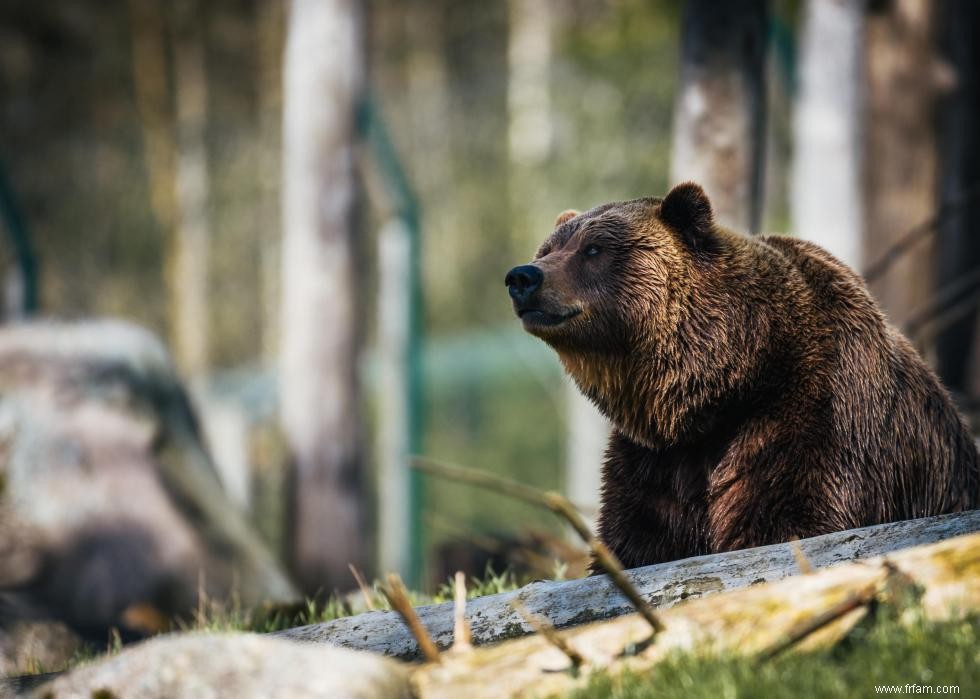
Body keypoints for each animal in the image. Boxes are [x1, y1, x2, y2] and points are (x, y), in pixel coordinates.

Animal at [506, 182, 980, 568]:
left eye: (593, 249)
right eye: (547, 249)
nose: (522, 276)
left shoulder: (812, 414)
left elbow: (789, 519)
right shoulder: (656, 462)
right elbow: (638, 540)